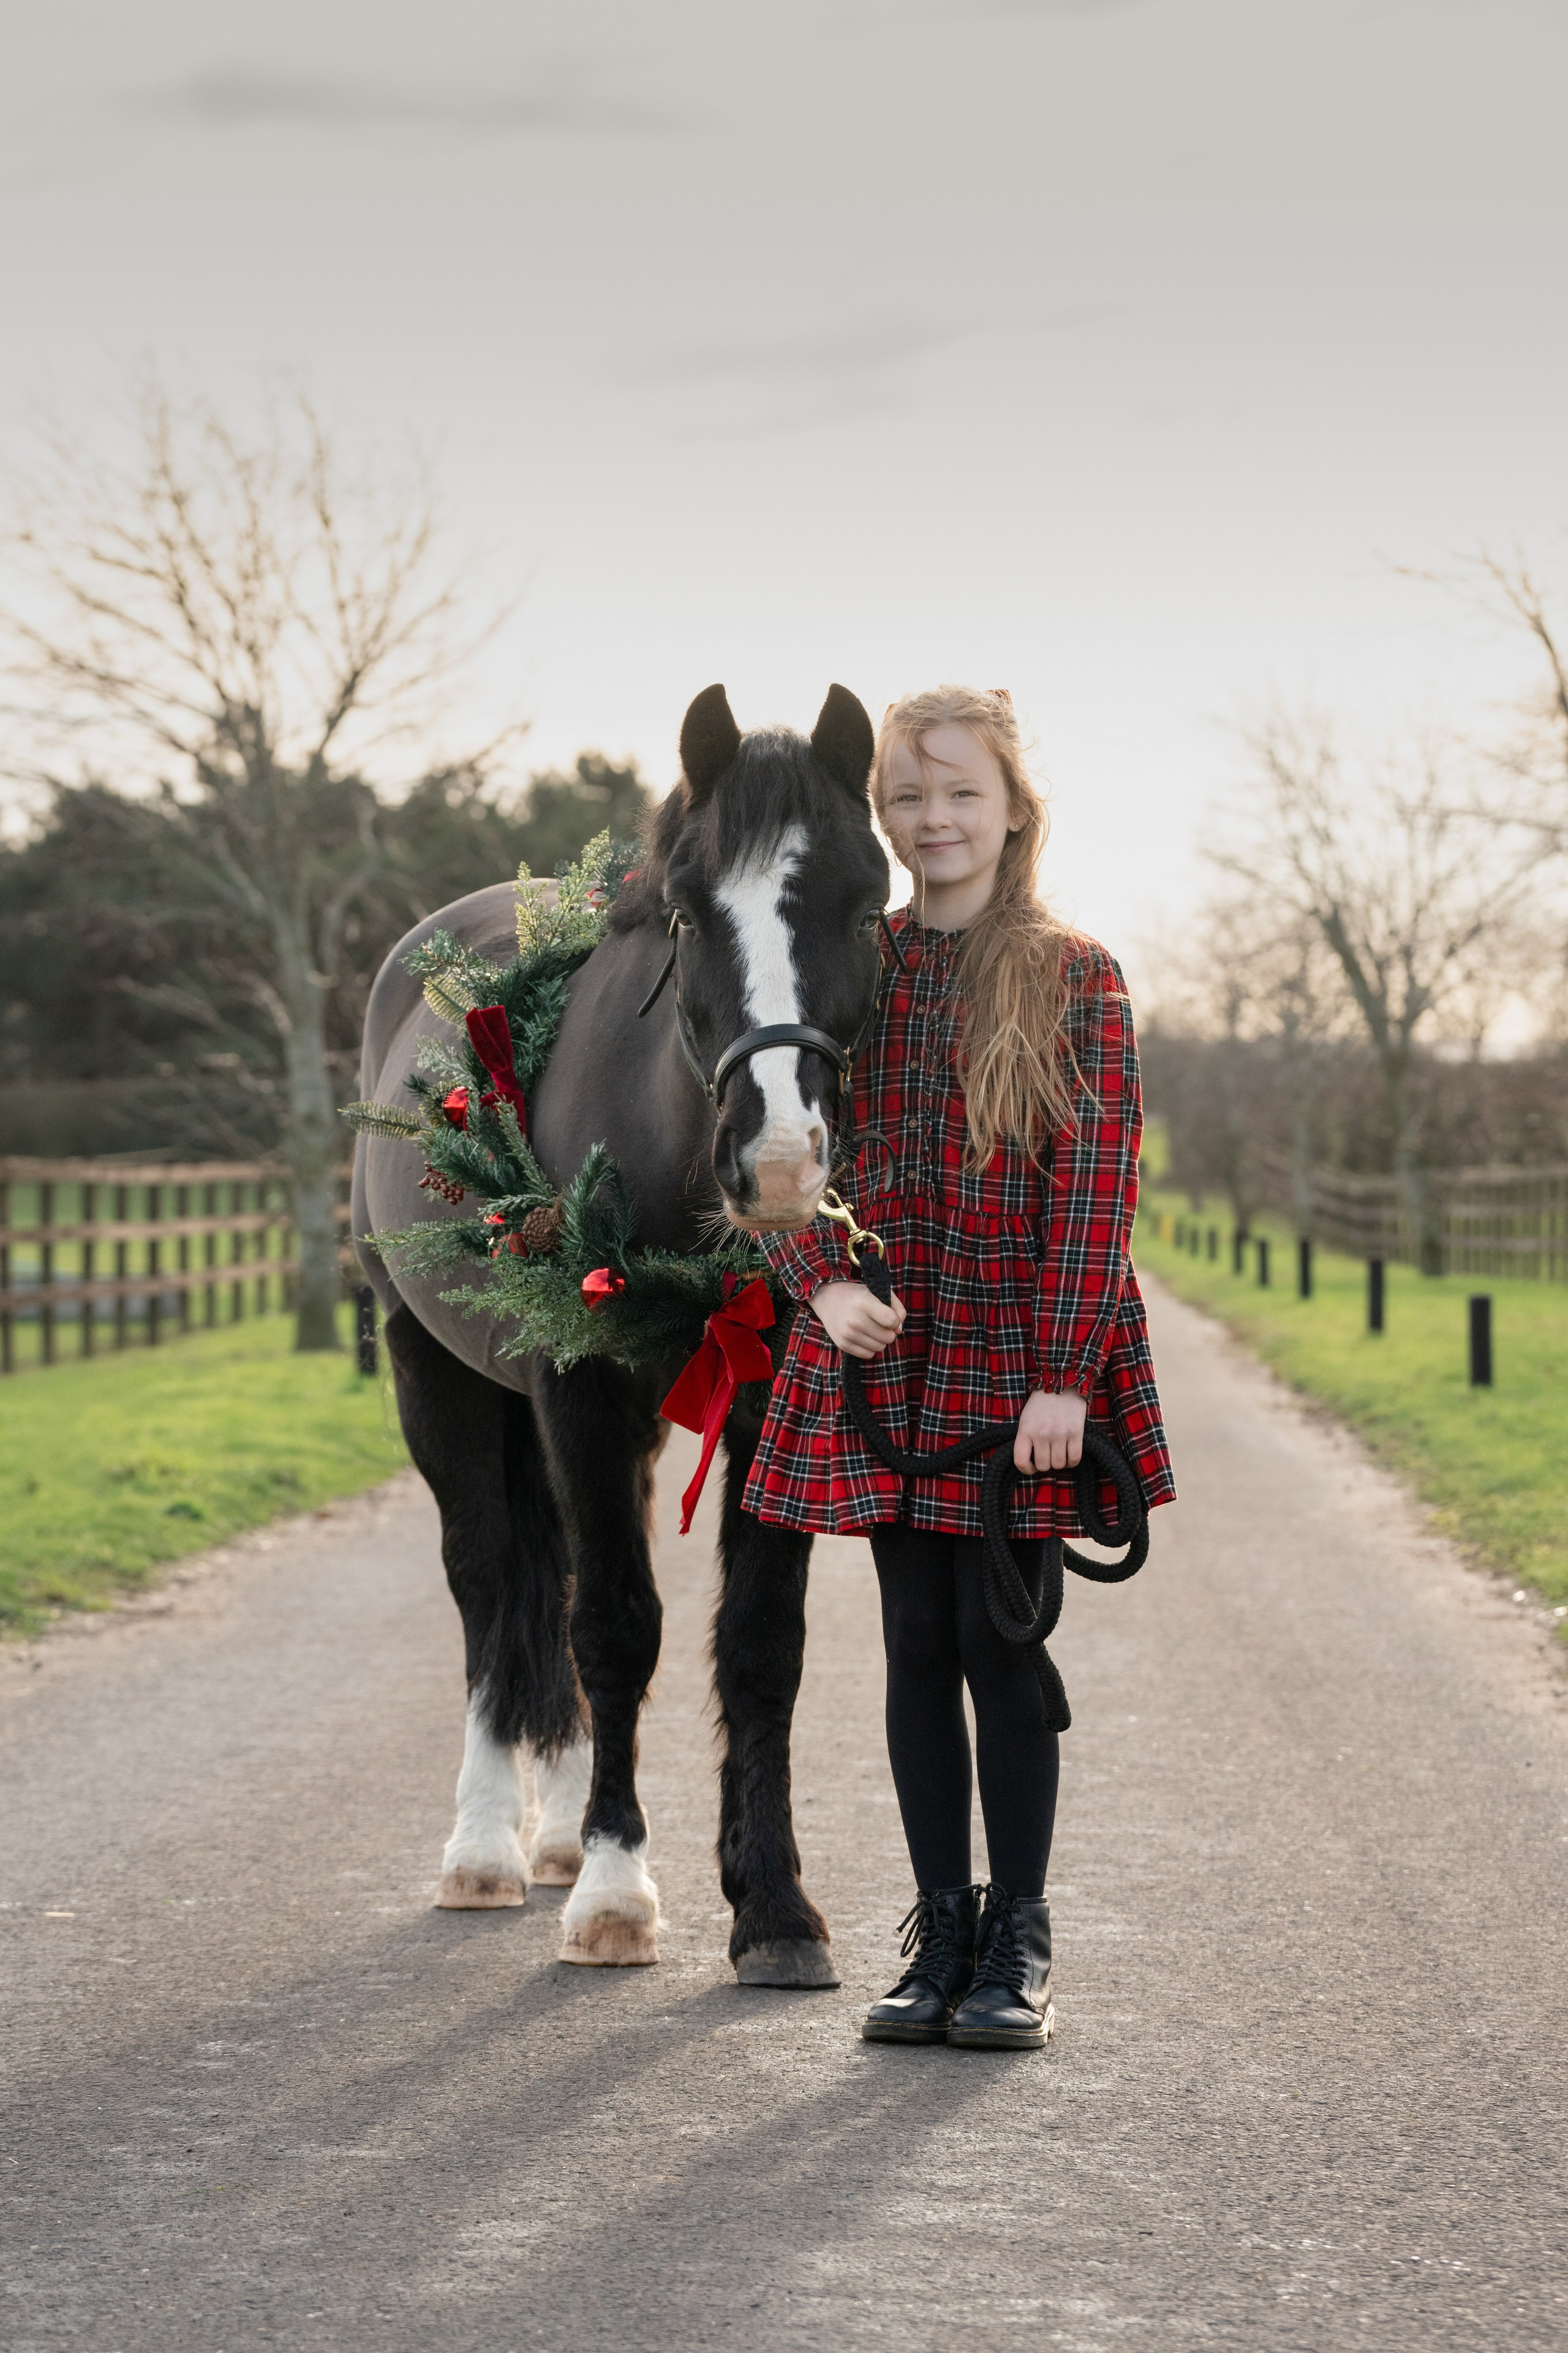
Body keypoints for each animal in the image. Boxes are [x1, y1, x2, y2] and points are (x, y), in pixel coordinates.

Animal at [352, 684, 890, 1985]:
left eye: (868, 906)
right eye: (691, 917)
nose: (781, 1163)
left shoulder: (765, 1404)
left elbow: (758, 1641)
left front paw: (774, 1907)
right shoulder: (580, 1392)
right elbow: (615, 1627)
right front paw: (613, 1887)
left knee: (543, 1586)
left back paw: (544, 1835)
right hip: (434, 1377)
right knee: (493, 1584)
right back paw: (489, 1846)